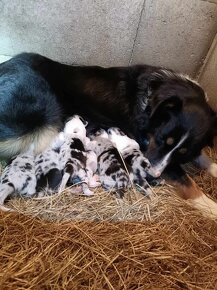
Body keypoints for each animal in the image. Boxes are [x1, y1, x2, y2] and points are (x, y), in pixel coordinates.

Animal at [0, 52, 217, 215]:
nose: (154, 174)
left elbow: (201, 157)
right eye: (162, 139)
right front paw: (212, 208)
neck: (151, 101)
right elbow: (187, 182)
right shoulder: (148, 148)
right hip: (45, 121)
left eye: (183, 152)